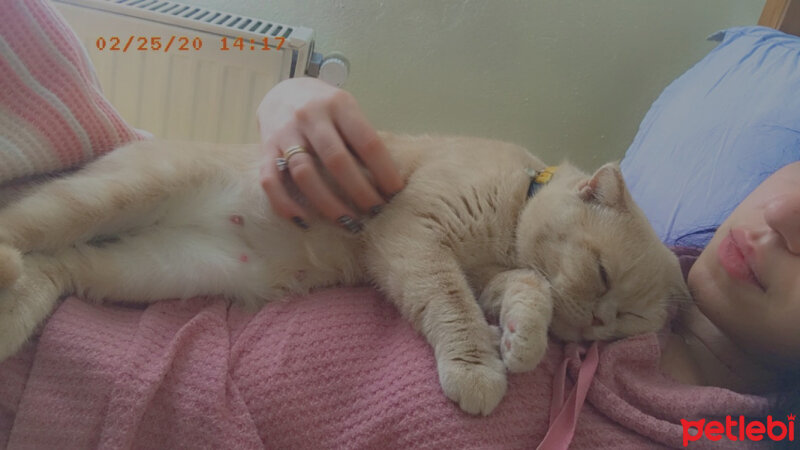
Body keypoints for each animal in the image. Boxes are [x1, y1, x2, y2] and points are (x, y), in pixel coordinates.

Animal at [0, 134, 688, 414]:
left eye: (623, 323)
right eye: (602, 274)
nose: (596, 324)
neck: (517, 194)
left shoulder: (491, 272)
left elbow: (526, 289)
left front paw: (522, 339)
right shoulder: (416, 239)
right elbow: (453, 306)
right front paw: (479, 367)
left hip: (147, 269)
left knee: (55, 265)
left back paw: (14, 310)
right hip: (109, 199)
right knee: (21, 227)